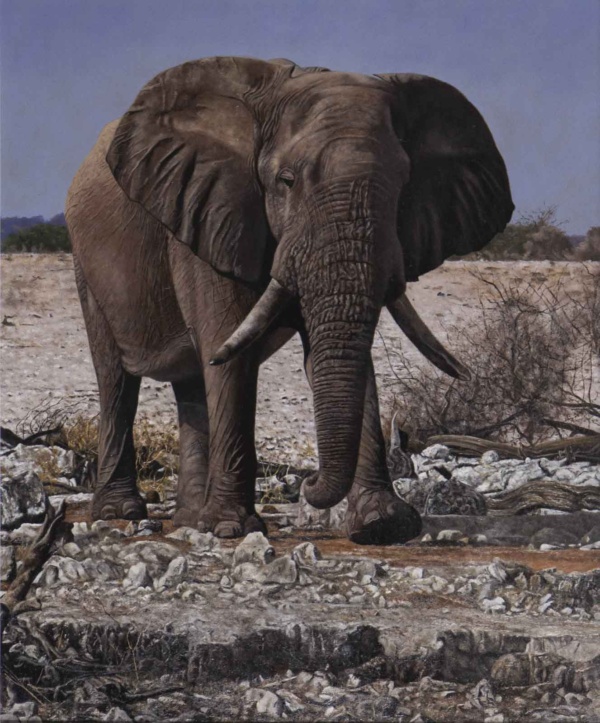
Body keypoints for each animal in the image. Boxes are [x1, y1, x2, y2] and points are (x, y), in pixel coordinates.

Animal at [65, 56, 513, 545]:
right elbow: (229, 350)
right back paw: (122, 512)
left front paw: (384, 525)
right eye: (287, 181)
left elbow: (332, 356)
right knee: (117, 381)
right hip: (86, 260)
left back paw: (186, 521)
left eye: (402, 185)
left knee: (192, 383)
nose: (310, 483)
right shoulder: (214, 210)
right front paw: (231, 528)